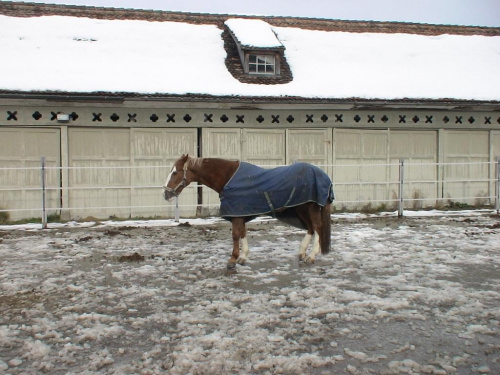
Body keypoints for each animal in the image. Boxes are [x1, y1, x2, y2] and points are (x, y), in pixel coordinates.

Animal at [163, 155, 332, 270]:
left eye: (175, 172)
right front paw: (243, 257)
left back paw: (311, 256)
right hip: (301, 208)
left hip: (310, 208)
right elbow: (243, 233)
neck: (228, 177)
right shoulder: (240, 213)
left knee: (317, 227)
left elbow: (235, 235)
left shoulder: (237, 214)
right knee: (311, 228)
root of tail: (324, 176)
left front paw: (232, 259)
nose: (165, 194)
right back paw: (302, 253)